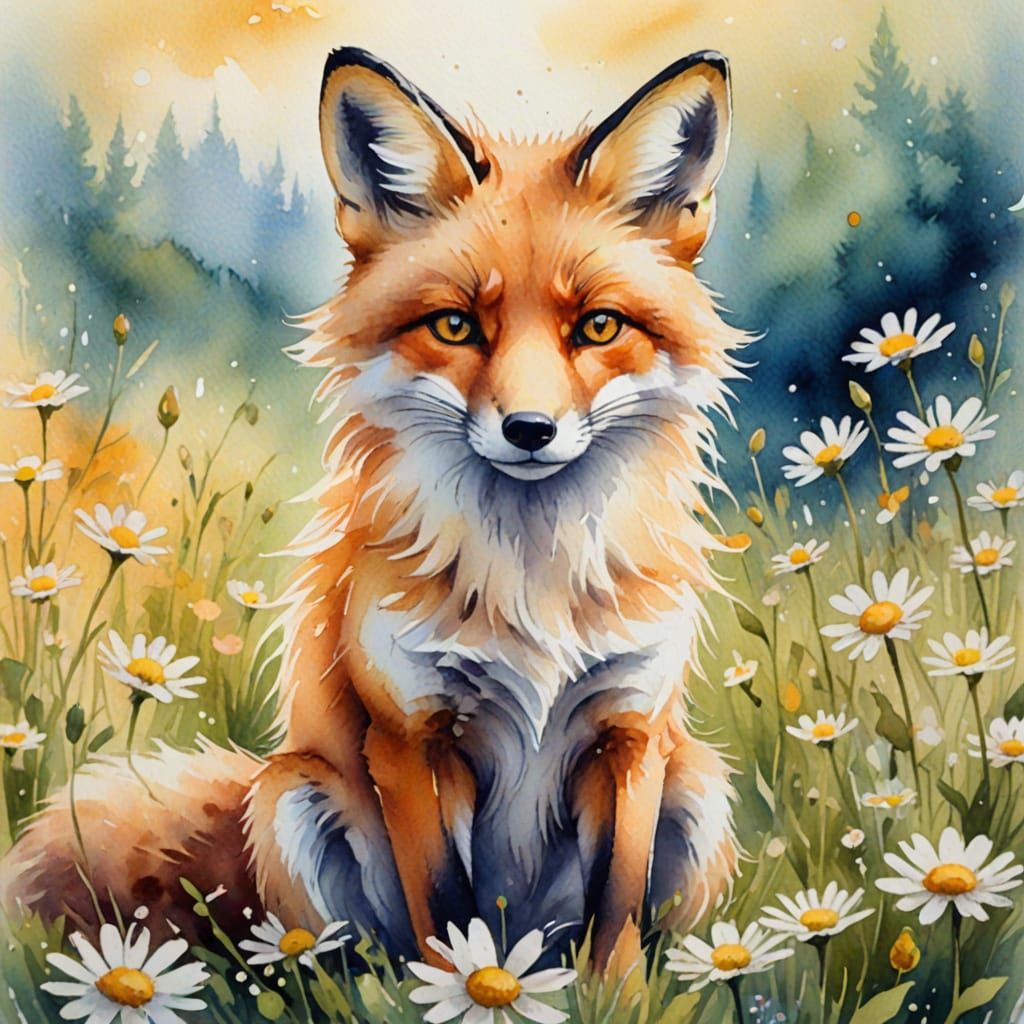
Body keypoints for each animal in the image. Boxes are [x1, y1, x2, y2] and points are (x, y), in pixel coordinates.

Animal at [4, 46, 749, 971]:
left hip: (700, 787)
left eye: (599, 327)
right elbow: (444, 907)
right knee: (335, 960)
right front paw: (461, 986)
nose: (530, 430)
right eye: (457, 326)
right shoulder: (409, 736)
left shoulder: (633, 734)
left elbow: (615, 920)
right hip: (291, 798)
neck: (528, 585)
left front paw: (610, 994)